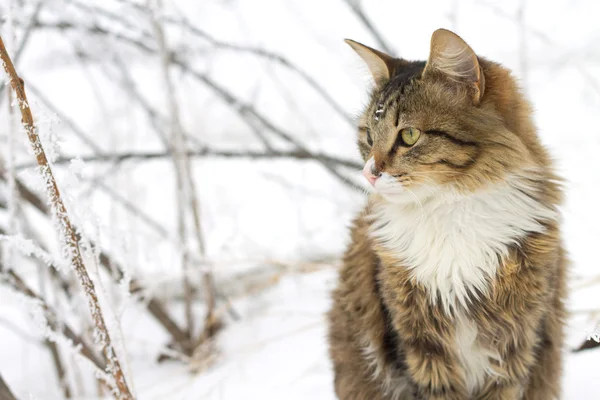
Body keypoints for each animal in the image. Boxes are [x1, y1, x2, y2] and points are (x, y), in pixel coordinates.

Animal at [328, 28, 568, 400]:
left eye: (409, 135)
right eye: (368, 136)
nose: (369, 174)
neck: (449, 212)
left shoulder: (517, 342)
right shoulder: (417, 346)